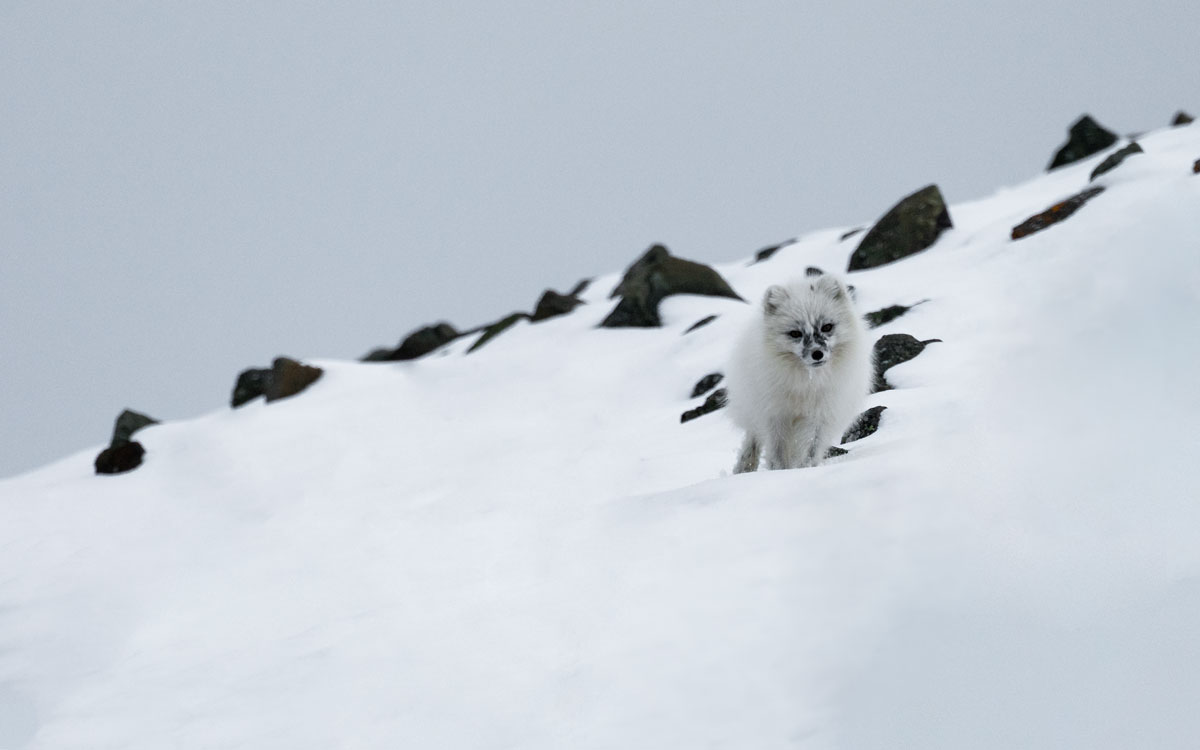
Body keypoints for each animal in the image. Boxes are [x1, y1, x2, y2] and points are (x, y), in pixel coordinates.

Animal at [720, 268, 873, 470]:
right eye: (795, 333)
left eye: (827, 327)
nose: (817, 354)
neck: (806, 384)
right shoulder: (776, 417)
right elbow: (777, 453)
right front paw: (780, 472)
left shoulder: (819, 417)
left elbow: (811, 450)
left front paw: (804, 469)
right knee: (752, 440)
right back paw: (744, 468)